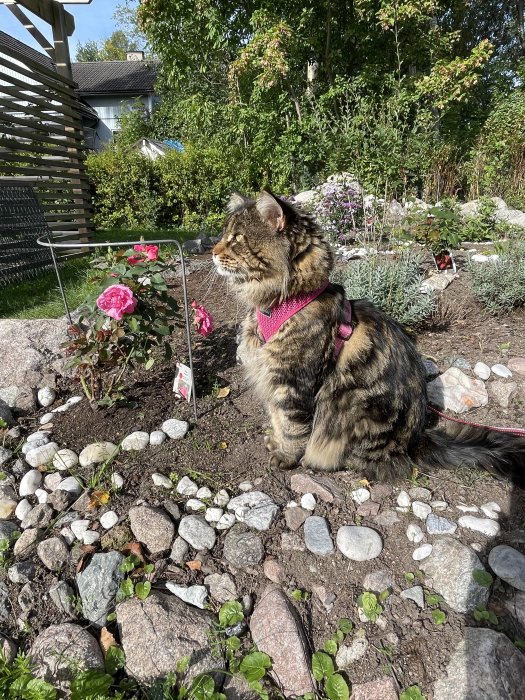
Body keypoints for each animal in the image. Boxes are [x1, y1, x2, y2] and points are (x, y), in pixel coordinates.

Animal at [212, 191, 524, 486]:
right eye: (224, 235)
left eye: (236, 238)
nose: (214, 252)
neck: (279, 304)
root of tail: (415, 441)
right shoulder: (270, 376)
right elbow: (277, 419)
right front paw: (274, 441)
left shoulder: (293, 382)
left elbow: (291, 427)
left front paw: (286, 457)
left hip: (356, 405)